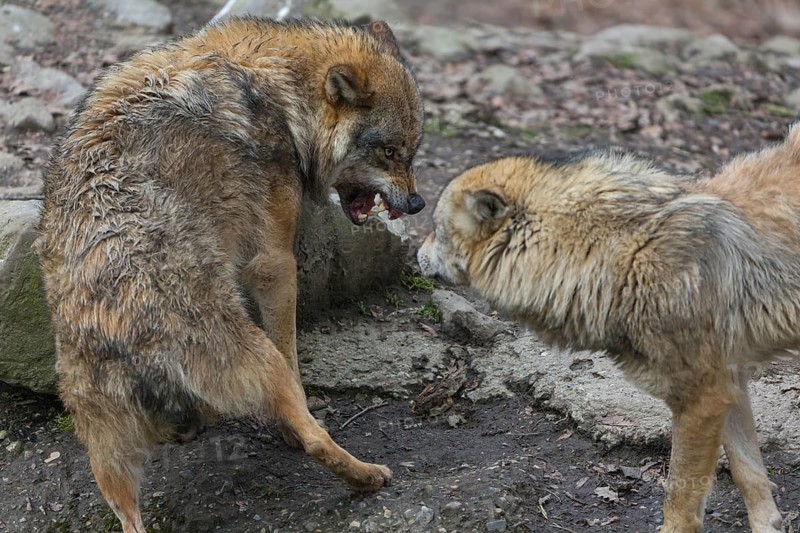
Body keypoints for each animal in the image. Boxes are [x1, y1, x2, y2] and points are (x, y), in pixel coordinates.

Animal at [36, 17, 424, 533]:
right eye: (388, 152)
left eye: (413, 153)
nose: (417, 203)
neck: (278, 89)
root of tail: (123, 336)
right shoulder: (274, 262)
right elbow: (293, 356)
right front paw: (303, 416)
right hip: (260, 360)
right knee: (311, 437)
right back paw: (366, 475)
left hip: (107, 455)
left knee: (126, 511)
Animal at [417, 128, 800, 532]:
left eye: (435, 229)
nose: (415, 251)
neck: (614, 255)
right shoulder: (728, 383)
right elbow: (749, 475)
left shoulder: (703, 397)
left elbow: (679, 503)